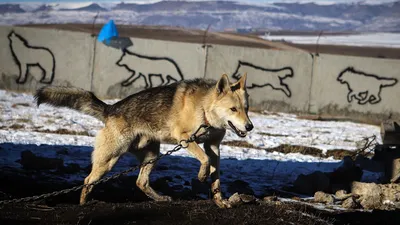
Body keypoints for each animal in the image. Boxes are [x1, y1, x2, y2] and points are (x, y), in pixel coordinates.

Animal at [34, 74, 253, 209]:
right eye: (233, 109)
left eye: (247, 108)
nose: (250, 126)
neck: (205, 110)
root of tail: (110, 109)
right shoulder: (185, 138)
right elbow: (204, 161)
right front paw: (201, 175)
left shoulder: (213, 147)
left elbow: (216, 179)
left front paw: (220, 201)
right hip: (109, 160)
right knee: (88, 181)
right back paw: (84, 205)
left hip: (152, 155)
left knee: (141, 182)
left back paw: (161, 199)